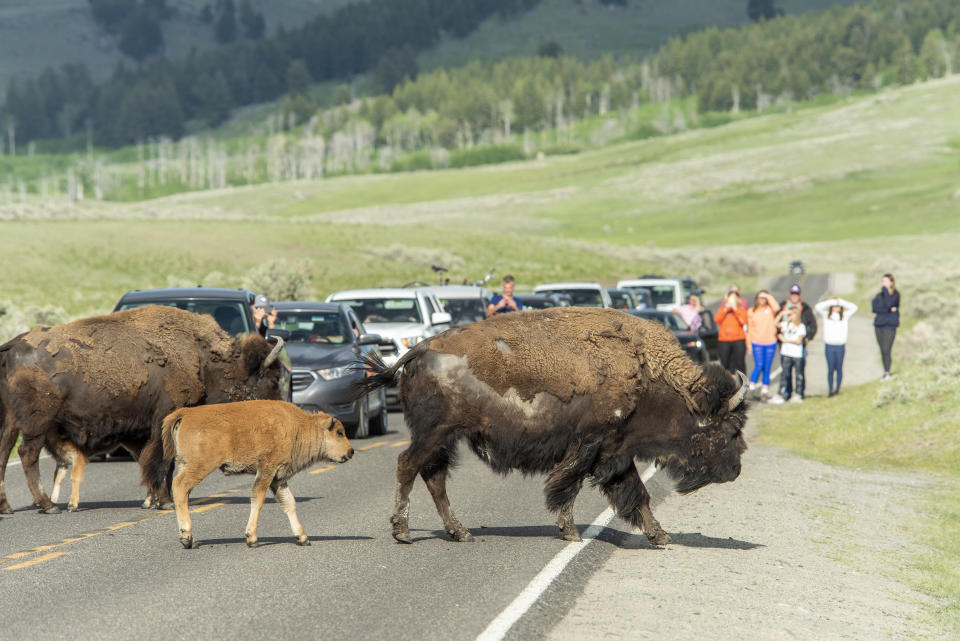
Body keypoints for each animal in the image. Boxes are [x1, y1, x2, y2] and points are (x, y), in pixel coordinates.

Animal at [0, 306, 284, 516]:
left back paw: (7, 507)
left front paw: (154, 500)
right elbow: (162, 462)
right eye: (272, 380)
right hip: (37, 422)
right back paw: (48, 505)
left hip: (11, 421)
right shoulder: (164, 421)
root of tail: (13, 346)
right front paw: (165, 501)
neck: (203, 359)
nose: (279, 413)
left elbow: (155, 461)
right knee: (27, 454)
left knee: (4, 453)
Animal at [161, 400, 356, 544]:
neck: (297, 427)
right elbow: (258, 499)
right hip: (200, 466)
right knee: (179, 486)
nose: (351, 451)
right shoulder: (267, 471)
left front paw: (302, 537)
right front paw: (251, 537)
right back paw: (186, 536)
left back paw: (187, 537)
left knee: (183, 492)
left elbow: (289, 503)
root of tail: (186, 413)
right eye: (339, 432)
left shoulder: (278, 479)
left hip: (184, 464)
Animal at [360, 306, 752, 544]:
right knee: (408, 466)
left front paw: (660, 536)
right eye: (730, 428)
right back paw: (403, 532)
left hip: (445, 438)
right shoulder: (590, 445)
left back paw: (460, 532)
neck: (646, 372)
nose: (736, 469)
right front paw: (571, 532)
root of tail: (419, 349)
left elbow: (636, 493)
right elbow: (569, 487)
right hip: (434, 432)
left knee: (434, 476)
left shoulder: (615, 451)